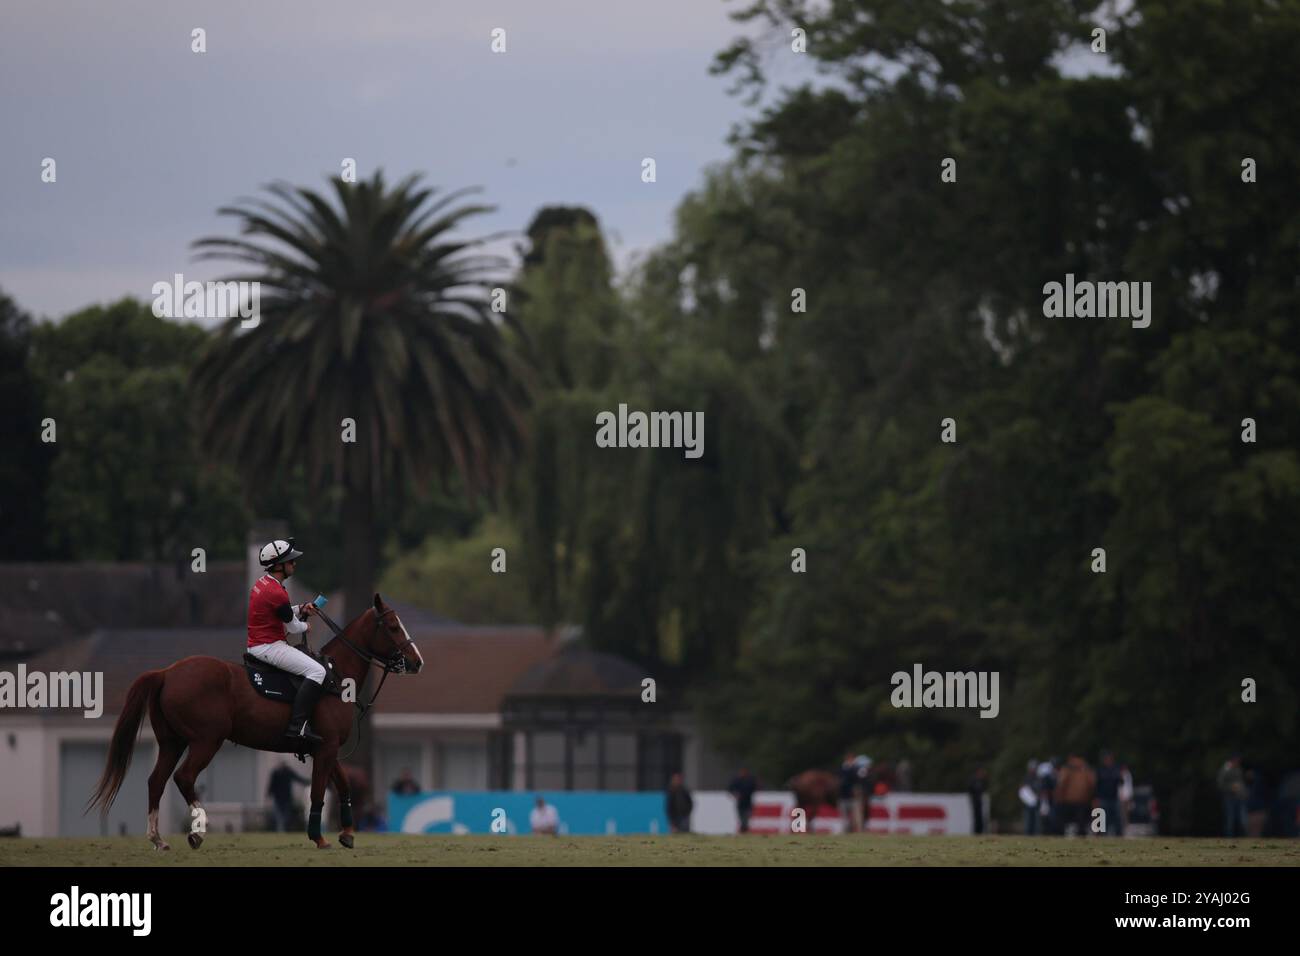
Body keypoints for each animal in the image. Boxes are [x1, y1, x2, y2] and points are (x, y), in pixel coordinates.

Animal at [87, 590, 421, 853]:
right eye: (393, 626)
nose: (417, 662)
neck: (336, 678)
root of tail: (167, 672)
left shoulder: (327, 749)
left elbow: (344, 785)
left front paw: (348, 834)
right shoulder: (326, 749)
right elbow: (318, 792)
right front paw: (319, 838)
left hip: (171, 742)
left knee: (156, 781)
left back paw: (158, 840)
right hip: (206, 740)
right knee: (184, 777)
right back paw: (197, 832)